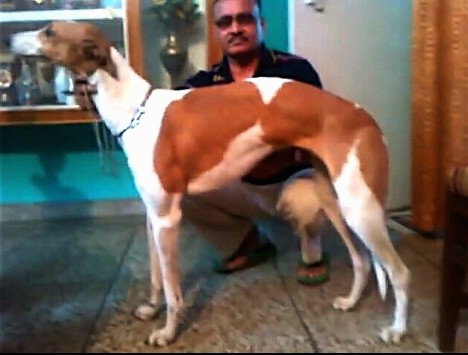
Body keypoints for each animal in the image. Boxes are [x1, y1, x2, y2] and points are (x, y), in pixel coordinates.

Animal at [11, 21, 410, 348]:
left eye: (49, 31)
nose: (9, 38)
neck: (136, 109)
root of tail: (363, 116)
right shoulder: (152, 216)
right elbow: (156, 276)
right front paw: (150, 310)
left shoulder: (167, 219)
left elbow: (173, 290)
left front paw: (167, 333)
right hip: (336, 201)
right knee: (362, 260)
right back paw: (351, 302)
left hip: (361, 209)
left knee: (399, 273)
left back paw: (397, 330)